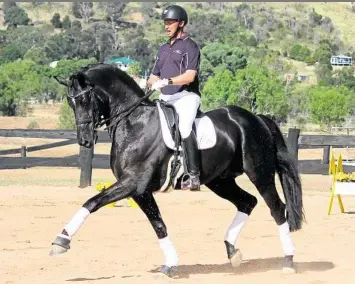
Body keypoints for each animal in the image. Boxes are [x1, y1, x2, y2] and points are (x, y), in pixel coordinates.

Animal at [50, 62, 306, 278]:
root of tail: (257, 118)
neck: (135, 123)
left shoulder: (133, 183)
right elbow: (159, 225)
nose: (84, 140)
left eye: (86, 100)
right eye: (71, 102)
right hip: (220, 181)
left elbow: (92, 202)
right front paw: (171, 264)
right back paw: (232, 252)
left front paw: (61, 241)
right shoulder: (140, 191)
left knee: (277, 209)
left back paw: (288, 261)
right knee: (247, 202)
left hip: (259, 174)